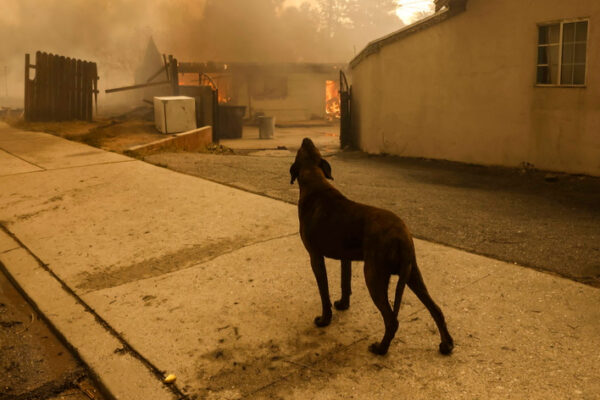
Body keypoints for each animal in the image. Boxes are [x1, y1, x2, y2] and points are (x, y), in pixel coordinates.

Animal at [290, 138, 454, 356]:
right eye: (311, 148)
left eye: (301, 150)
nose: (306, 139)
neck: (315, 181)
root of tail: (402, 235)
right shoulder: (345, 258)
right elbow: (345, 283)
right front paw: (343, 304)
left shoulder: (315, 257)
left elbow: (324, 292)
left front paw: (325, 320)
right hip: (412, 274)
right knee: (436, 309)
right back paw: (446, 344)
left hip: (374, 275)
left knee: (392, 320)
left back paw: (381, 348)